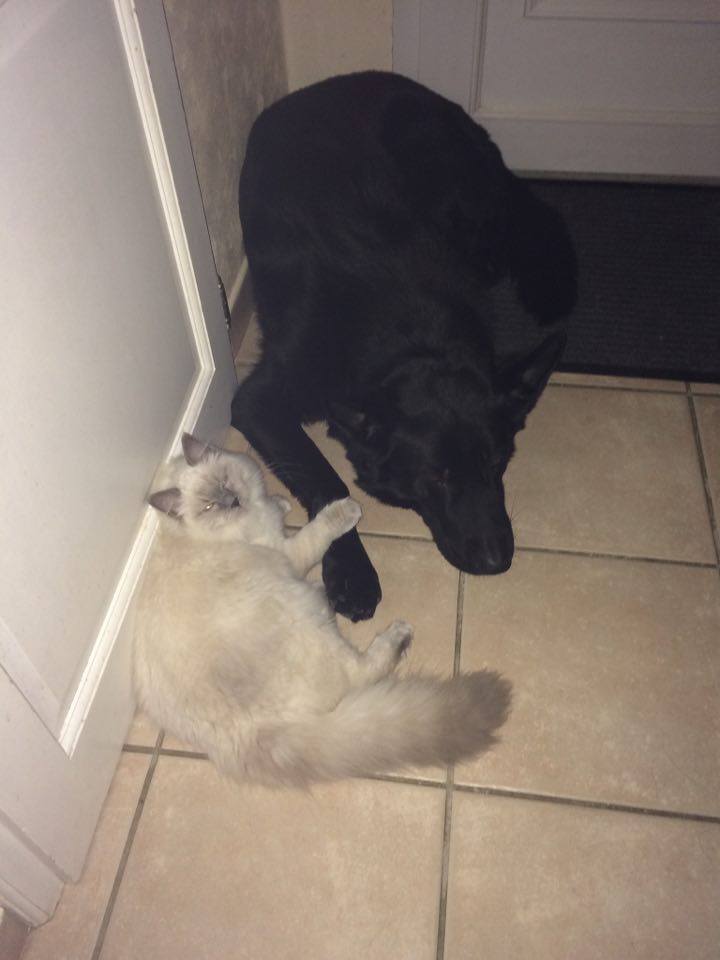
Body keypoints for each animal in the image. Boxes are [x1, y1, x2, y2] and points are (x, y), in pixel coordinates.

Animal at [133, 433, 512, 787]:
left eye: (225, 482)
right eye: (211, 507)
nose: (233, 501)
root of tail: (251, 738)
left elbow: (277, 507)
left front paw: (281, 502)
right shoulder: (286, 551)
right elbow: (318, 532)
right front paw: (344, 510)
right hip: (301, 608)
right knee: (361, 672)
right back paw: (395, 633)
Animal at [231, 71, 576, 621]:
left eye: (498, 462)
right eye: (436, 477)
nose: (497, 561)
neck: (405, 334)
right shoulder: (261, 399)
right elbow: (328, 480)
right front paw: (351, 570)